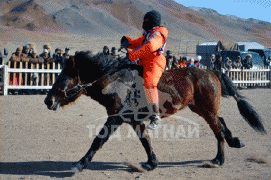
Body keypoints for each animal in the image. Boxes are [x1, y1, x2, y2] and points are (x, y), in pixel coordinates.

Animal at [43, 50, 266, 173]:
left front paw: (80, 164)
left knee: (218, 130)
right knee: (221, 122)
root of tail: (212, 71)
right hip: (201, 108)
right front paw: (152, 163)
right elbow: (145, 140)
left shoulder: (115, 118)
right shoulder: (133, 120)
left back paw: (219, 159)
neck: (117, 81)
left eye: (65, 74)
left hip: (207, 110)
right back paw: (235, 141)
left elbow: (98, 141)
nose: (48, 100)